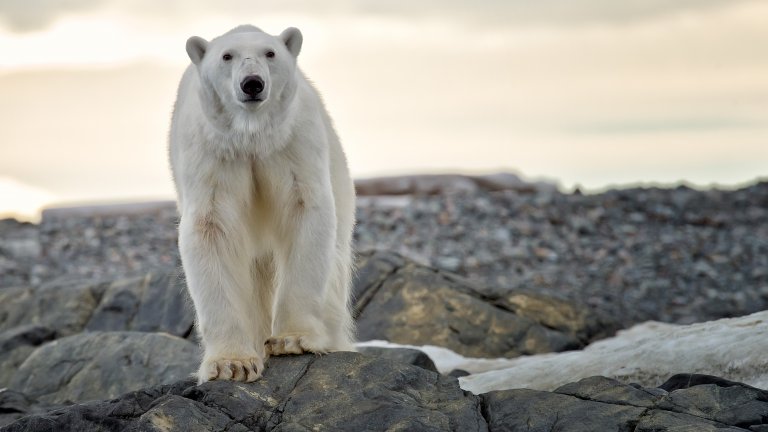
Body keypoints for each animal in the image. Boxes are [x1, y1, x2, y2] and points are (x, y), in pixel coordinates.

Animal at [168, 25, 356, 384]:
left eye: (270, 53)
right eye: (227, 56)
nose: (252, 83)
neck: (251, 137)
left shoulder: (292, 144)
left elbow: (304, 212)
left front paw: (293, 339)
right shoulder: (211, 153)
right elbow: (211, 228)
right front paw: (232, 364)